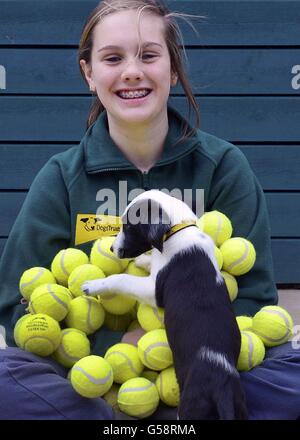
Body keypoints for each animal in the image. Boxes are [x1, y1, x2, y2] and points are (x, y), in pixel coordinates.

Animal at [82, 190, 248, 420]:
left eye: (129, 227)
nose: (112, 248)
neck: (179, 229)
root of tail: (222, 386)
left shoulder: (153, 290)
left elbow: (122, 278)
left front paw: (93, 285)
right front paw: (144, 260)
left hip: (190, 407)